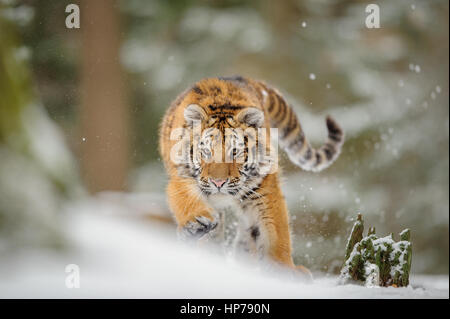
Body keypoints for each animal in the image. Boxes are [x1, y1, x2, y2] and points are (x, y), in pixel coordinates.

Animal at [158, 76, 344, 276]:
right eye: (206, 151)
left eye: (234, 152)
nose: (218, 182)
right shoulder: (181, 175)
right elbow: (187, 198)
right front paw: (197, 222)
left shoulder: (264, 188)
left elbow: (276, 230)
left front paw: (284, 269)